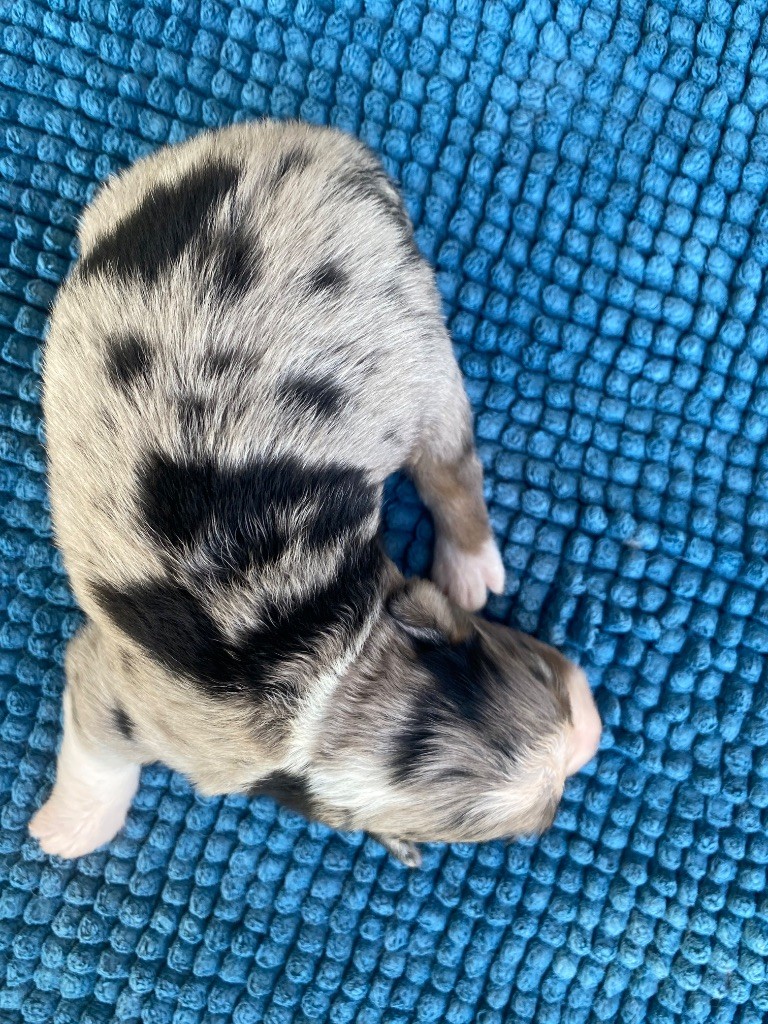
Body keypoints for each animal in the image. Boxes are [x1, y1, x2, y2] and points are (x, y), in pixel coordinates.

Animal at [30, 120, 601, 866]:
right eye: (534, 665)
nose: (592, 732)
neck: (332, 688)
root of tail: (334, 157)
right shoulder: (119, 697)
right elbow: (98, 756)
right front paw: (66, 830)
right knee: (452, 469)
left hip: (419, 346)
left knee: (449, 469)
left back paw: (469, 570)